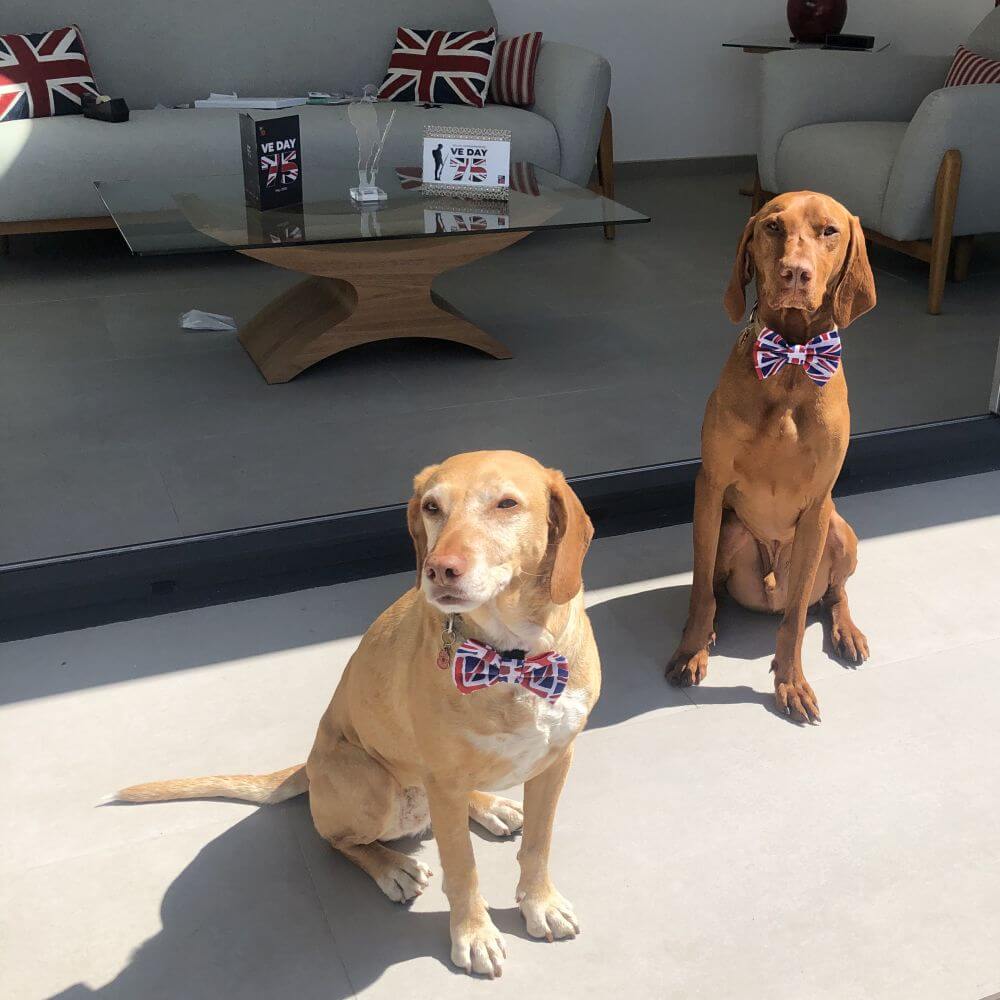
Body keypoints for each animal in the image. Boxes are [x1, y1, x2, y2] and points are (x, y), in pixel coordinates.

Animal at [108, 452, 596, 976]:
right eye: (432, 507)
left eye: (507, 504)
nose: (439, 570)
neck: (514, 659)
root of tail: (306, 765)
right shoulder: (443, 779)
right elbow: (462, 868)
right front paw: (474, 934)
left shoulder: (557, 760)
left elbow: (540, 843)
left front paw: (540, 903)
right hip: (372, 781)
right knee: (335, 838)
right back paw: (393, 867)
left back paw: (490, 806)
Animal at [672, 191, 876, 720]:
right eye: (772, 227)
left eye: (829, 231)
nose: (794, 274)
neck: (791, 360)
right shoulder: (710, 487)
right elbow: (699, 592)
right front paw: (691, 650)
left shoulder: (818, 505)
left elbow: (799, 614)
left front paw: (791, 682)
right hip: (729, 529)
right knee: (716, 591)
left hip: (840, 532)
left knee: (832, 595)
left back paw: (847, 631)